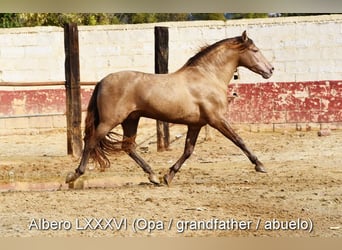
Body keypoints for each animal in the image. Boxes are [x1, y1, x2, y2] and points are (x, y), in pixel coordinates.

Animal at [65, 30, 274, 186]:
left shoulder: (196, 125)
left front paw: (168, 176)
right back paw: (74, 175)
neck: (208, 76)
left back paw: (153, 176)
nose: (270, 70)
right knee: (91, 142)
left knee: (128, 146)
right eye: (255, 50)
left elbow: (188, 150)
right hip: (110, 121)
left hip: (131, 120)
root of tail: (101, 81)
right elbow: (239, 140)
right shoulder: (217, 119)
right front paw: (260, 165)